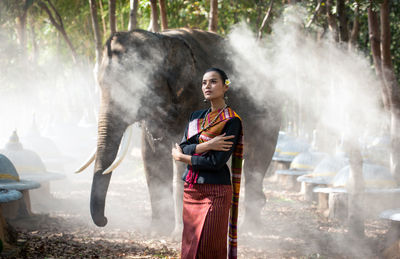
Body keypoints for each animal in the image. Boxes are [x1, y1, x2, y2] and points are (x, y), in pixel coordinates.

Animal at [84, 28, 280, 236]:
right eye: (100, 84)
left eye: (135, 88)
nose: (105, 220)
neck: (162, 39)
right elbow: (152, 153)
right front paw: (157, 231)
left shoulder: (193, 96)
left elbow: (188, 152)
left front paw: (176, 232)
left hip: (269, 114)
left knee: (256, 162)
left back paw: (250, 228)